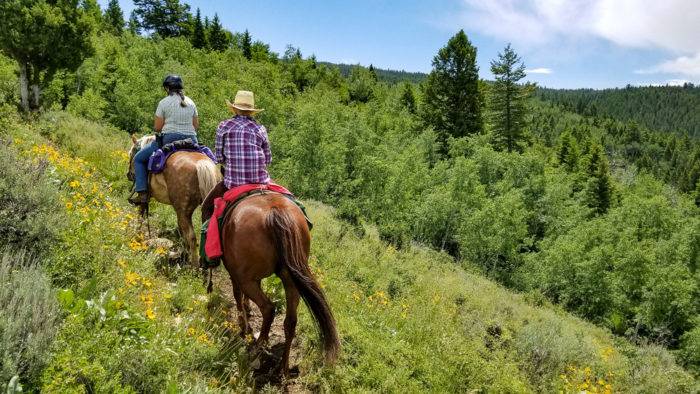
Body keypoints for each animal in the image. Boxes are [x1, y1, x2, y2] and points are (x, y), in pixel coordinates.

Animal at [127, 135, 220, 268]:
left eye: (131, 154)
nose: (129, 174)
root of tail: (202, 164)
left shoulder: (145, 198)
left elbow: (141, 214)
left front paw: (136, 235)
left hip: (183, 211)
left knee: (191, 236)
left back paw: (194, 266)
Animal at [202, 191, 340, 376]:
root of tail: (276, 213)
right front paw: (247, 310)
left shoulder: (235, 274)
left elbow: (237, 296)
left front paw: (243, 325)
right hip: (290, 279)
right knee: (290, 321)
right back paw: (283, 367)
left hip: (247, 280)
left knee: (268, 308)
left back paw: (258, 345)